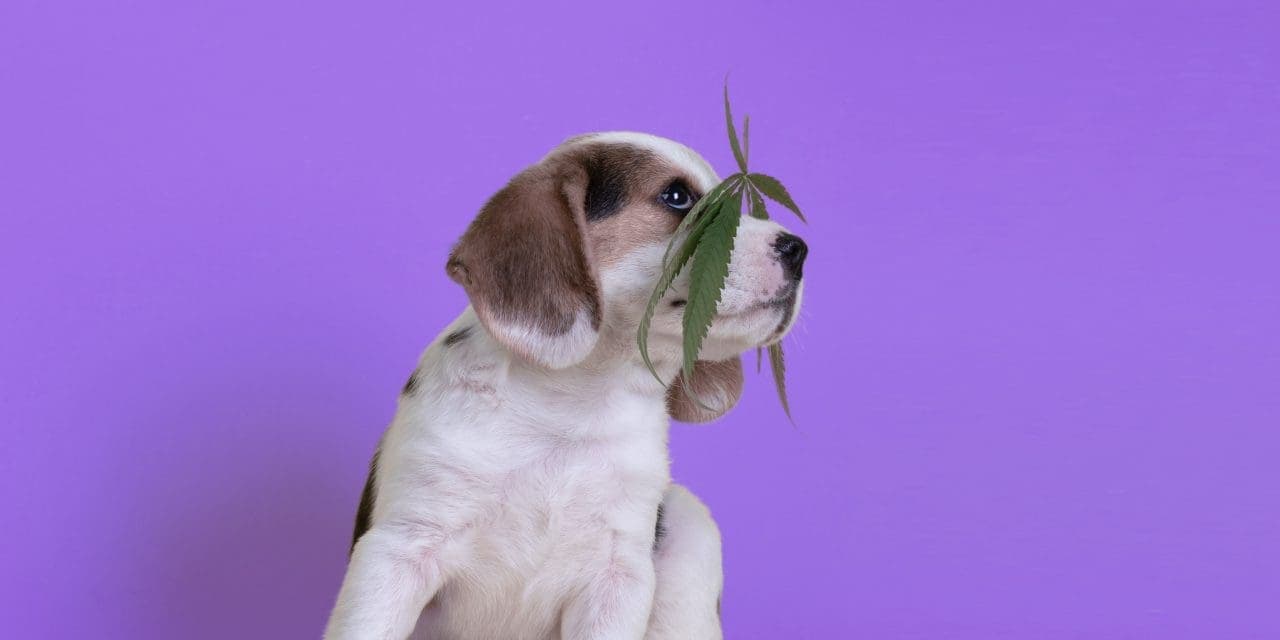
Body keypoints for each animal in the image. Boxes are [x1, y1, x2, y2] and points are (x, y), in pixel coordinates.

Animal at [327, 132, 808, 637]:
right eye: (677, 197)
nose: (798, 249)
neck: (571, 408)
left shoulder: (616, 579)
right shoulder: (398, 553)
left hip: (690, 540)